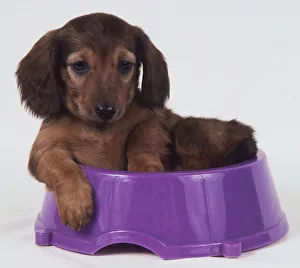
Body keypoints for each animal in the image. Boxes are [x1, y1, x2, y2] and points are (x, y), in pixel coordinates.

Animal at [15, 13, 256, 230]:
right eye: (79, 66)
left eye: (125, 65)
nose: (106, 110)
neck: (101, 130)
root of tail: (248, 135)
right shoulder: (44, 147)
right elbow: (61, 166)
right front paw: (76, 204)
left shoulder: (154, 119)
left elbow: (141, 137)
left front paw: (144, 168)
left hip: (187, 130)